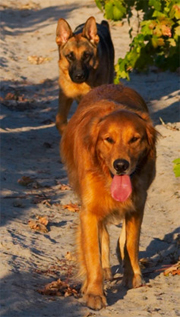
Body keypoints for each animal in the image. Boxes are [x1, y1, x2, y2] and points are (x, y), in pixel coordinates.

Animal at [60, 82, 158, 308]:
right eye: (108, 139)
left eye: (134, 139)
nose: (121, 165)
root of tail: (111, 84)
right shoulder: (88, 211)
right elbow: (92, 255)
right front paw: (94, 292)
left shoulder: (137, 204)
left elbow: (131, 242)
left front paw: (131, 275)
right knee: (102, 232)